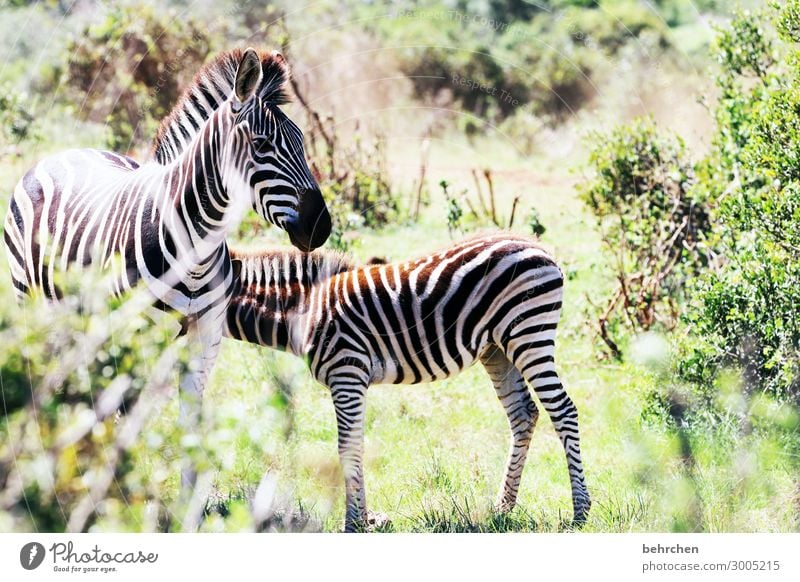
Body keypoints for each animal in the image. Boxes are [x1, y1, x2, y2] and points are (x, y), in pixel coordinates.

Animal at [2, 48, 332, 490]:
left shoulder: (205, 335)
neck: (194, 251)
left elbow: (191, 422)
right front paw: (125, 491)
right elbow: (127, 419)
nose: (320, 226)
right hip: (32, 301)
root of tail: (68, 151)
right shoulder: (131, 336)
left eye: (301, 141)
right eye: (261, 145)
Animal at [225, 234, 588, 532]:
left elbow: (347, 447)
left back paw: (580, 511)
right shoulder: (350, 380)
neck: (306, 310)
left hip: (529, 333)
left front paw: (353, 524)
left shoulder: (347, 373)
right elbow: (355, 444)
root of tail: (541, 248)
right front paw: (366, 519)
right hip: (497, 348)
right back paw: (503, 508)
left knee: (563, 410)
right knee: (524, 415)